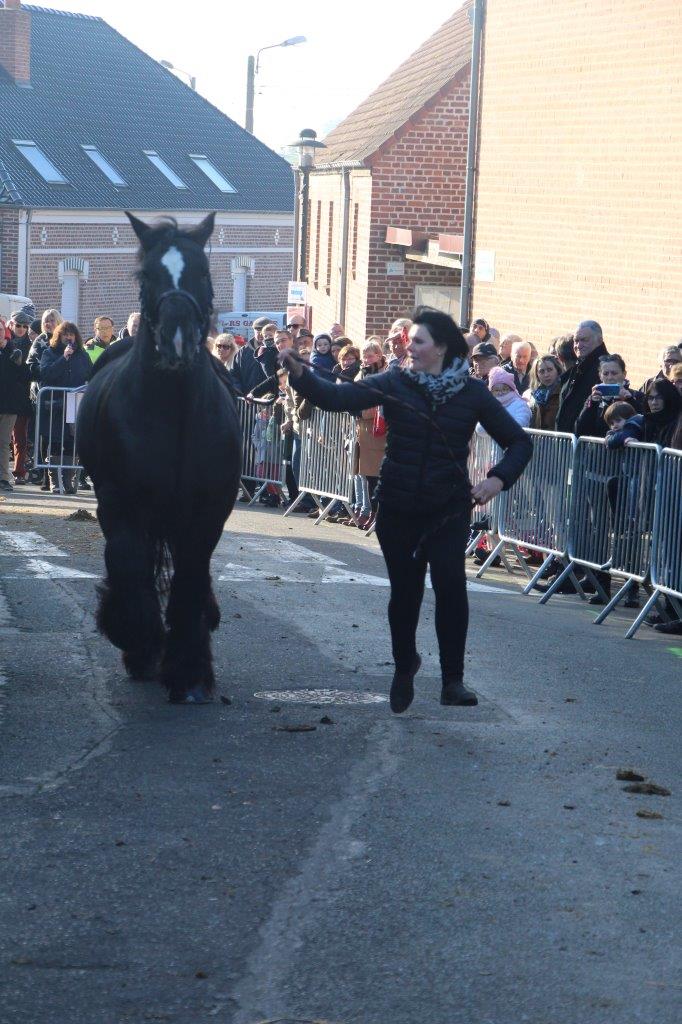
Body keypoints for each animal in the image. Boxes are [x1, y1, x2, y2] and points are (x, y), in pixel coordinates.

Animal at [77, 209, 241, 704]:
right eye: (147, 275)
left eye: (203, 272)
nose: (177, 340)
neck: (173, 411)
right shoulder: (120, 503)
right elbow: (129, 565)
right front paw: (139, 639)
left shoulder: (207, 511)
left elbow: (190, 576)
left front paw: (188, 669)